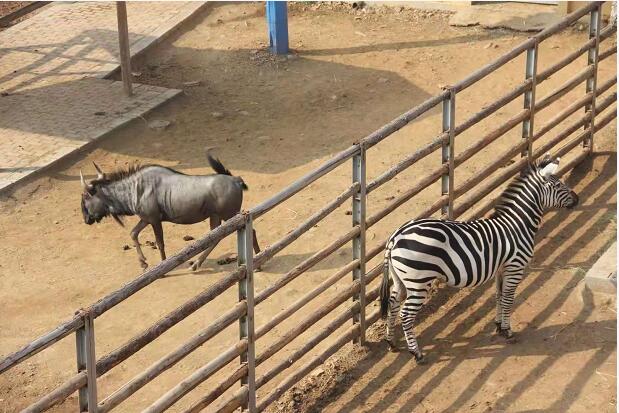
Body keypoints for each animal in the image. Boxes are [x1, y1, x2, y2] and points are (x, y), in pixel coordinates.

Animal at [380, 154, 580, 364]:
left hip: (401, 279)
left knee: (393, 304)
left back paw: (391, 342)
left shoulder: (502, 268)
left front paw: (499, 326)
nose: (577, 199)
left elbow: (499, 296)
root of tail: (396, 237)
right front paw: (508, 331)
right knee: (406, 315)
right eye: (558, 185)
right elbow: (508, 299)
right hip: (419, 280)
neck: (518, 224)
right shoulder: (515, 267)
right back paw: (417, 354)